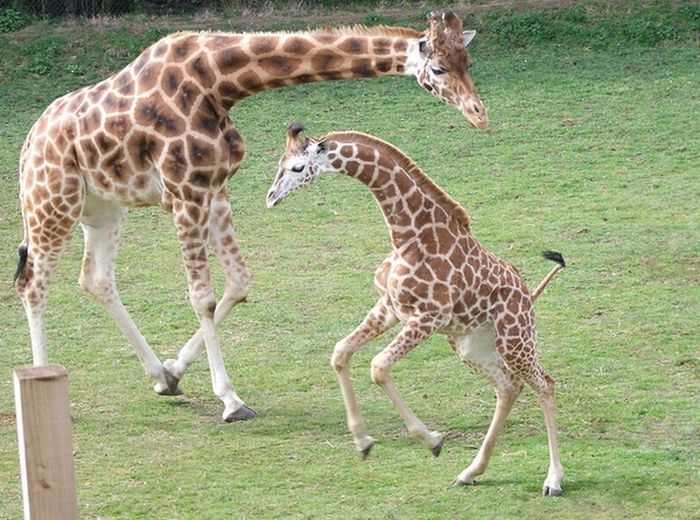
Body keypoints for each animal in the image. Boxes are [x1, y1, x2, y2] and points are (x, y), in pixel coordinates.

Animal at [13, 9, 488, 422]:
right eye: (438, 69)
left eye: (467, 61)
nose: (478, 114)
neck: (217, 83)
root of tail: (30, 141)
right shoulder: (185, 193)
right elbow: (201, 297)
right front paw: (230, 400)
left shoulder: (215, 190)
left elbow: (239, 283)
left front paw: (174, 372)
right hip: (51, 200)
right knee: (33, 282)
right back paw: (44, 380)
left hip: (103, 206)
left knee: (95, 278)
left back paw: (157, 373)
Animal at [266, 123, 567, 496]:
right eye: (279, 163)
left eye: (296, 168)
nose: (271, 196)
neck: (407, 236)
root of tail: (529, 295)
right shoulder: (391, 307)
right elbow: (340, 352)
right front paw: (363, 442)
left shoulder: (428, 317)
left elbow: (378, 366)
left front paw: (432, 440)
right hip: (472, 346)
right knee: (508, 387)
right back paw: (471, 471)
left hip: (515, 339)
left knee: (546, 384)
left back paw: (553, 480)